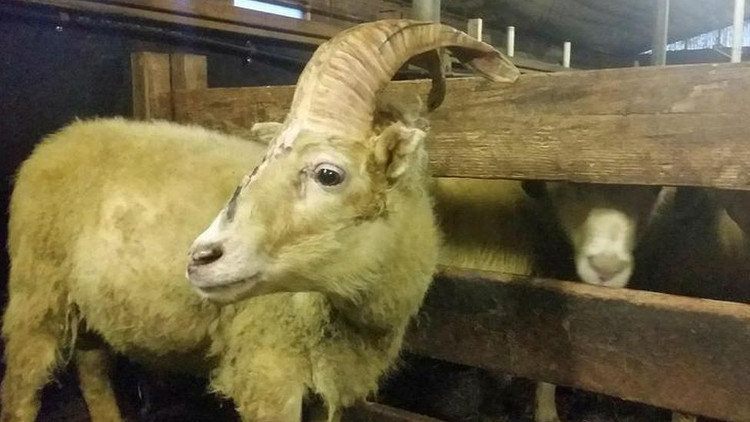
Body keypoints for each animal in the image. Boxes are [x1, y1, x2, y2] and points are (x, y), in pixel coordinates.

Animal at [0, 19, 520, 422]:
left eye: (329, 174)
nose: (199, 258)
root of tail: (64, 136)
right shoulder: (268, 372)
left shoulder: (327, 381)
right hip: (36, 295)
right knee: (20, 392)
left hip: (88, 305)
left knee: (92, 372)